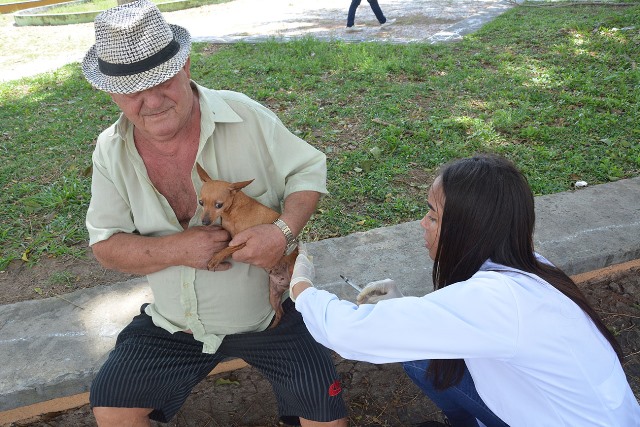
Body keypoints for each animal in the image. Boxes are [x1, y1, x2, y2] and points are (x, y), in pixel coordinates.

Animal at [195, 163, 298, 328]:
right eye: (201, 202)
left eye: (219, 205)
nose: (204, 222)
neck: (233, 210)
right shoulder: (231, 235)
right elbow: (227, 242)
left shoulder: (244, 241)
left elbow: (229, 248)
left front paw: (216, 258)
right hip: (273, 295)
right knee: (280, 313)